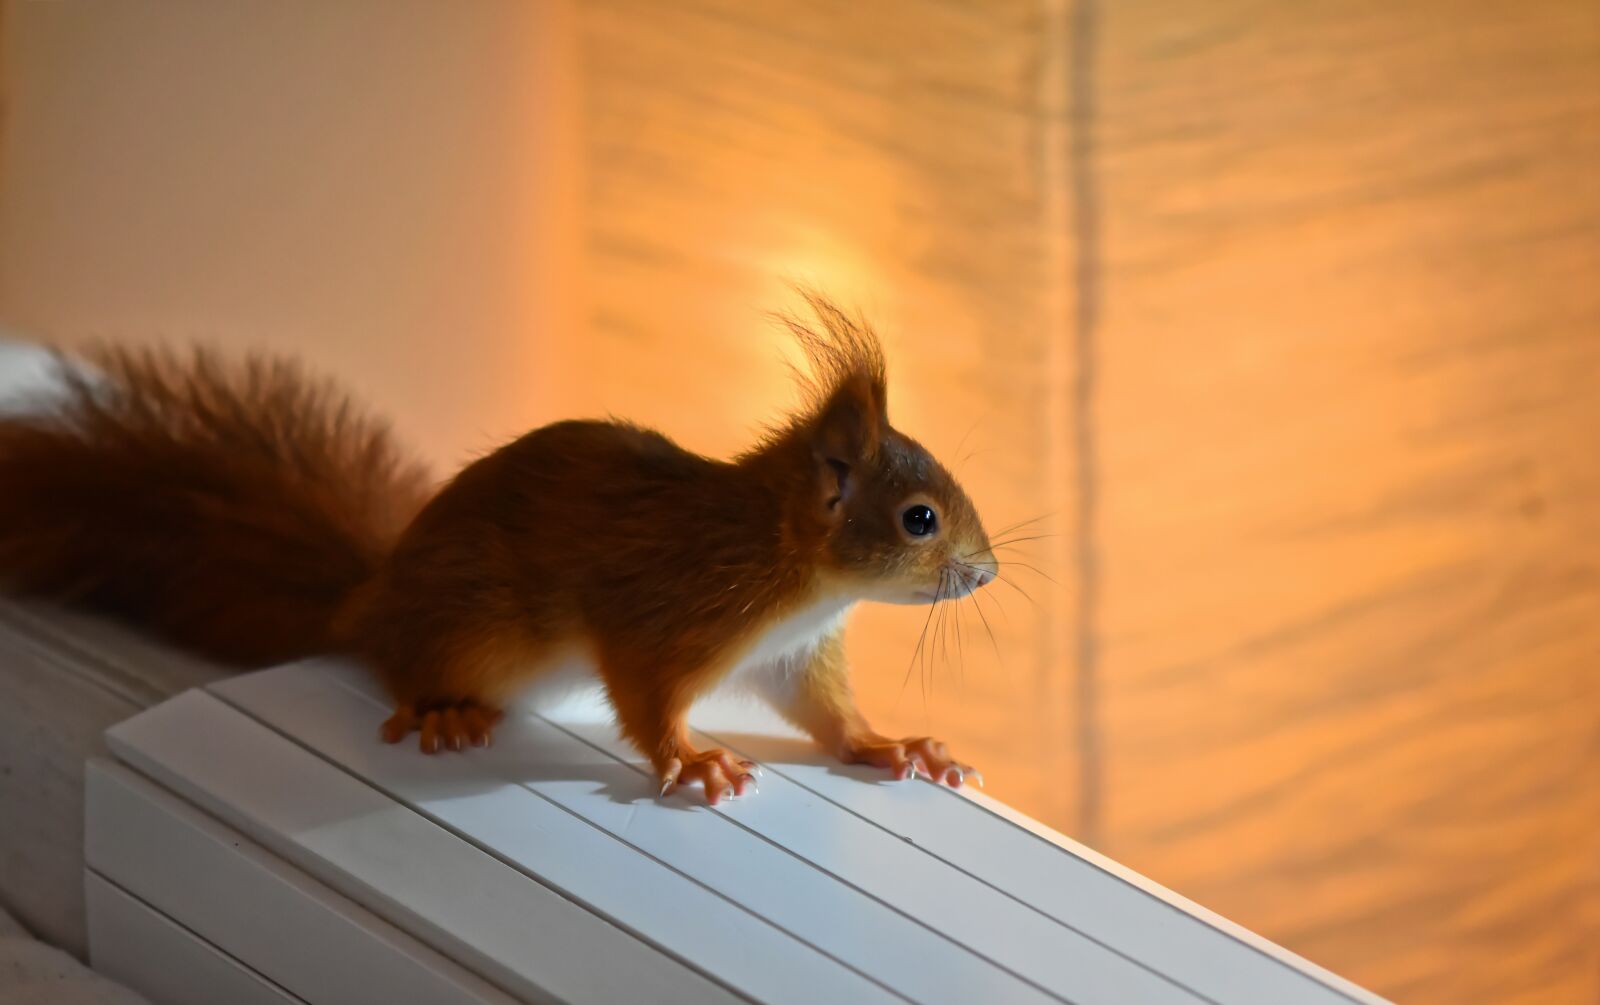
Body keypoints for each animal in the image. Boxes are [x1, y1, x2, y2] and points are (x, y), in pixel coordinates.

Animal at [0, 293, 998, 804]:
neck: (788, 564)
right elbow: (645, 695)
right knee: (401, 667)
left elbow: (826, 714)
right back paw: (442, 709)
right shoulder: (664, 610)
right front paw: (691, 757)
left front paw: (891, 743)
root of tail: (370, 596)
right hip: (474, 626)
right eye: (919, 519)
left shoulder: (791, 654)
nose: (987, 571)